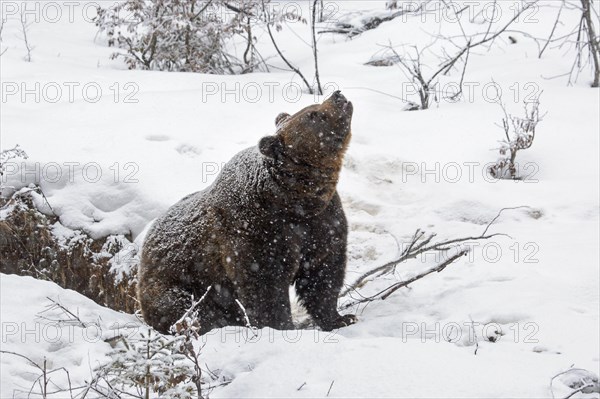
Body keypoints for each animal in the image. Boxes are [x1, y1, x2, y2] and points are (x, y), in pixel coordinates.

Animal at [137, 90, 356, 334]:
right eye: (313, 114)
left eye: (312, 108)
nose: (338, 95)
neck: (295, 198)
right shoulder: (255, 230)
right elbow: (263, 283)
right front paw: (280, 326)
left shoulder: (322, 220)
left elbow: (323, 271)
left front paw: (340, 318)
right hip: (176, 280)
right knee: (185, 306)